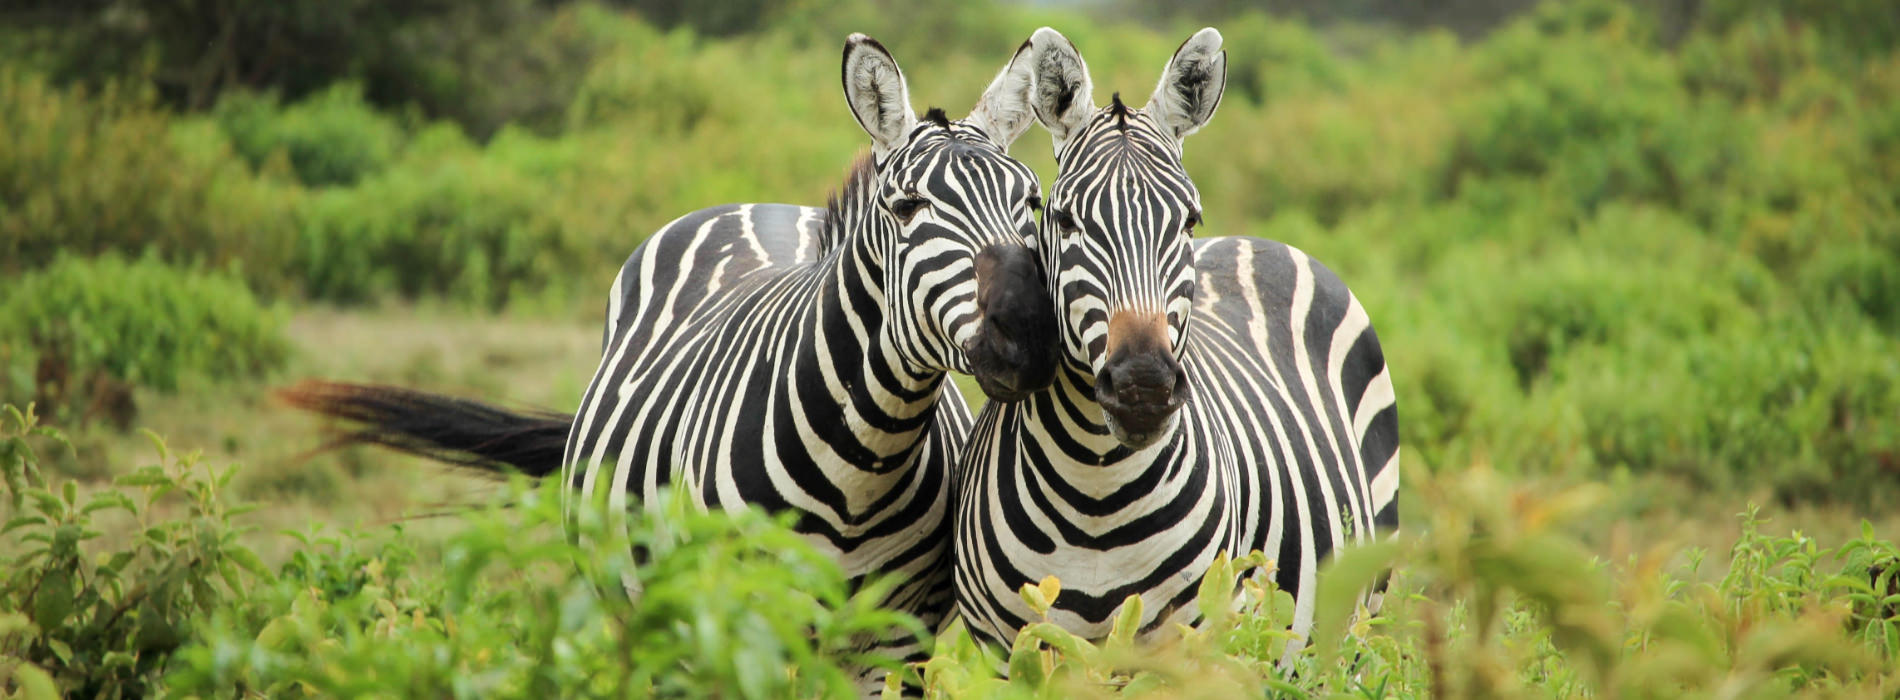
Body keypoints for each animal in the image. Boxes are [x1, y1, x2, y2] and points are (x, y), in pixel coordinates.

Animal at [282, 33, 1057, 691]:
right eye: (906, 208)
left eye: (1031, 200)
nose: (1028, 333)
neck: (861, 464)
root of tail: (756, 204)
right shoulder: (732, 621)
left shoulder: (895, 642)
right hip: (655, 618)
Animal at [951, 27, 1401, 659]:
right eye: (1064, 220)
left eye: (1188, 221)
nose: (1143, 386)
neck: (1095, 490)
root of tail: (1256, 240)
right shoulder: (1007, 651)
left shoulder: (1191, 647)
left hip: (1360, 615)